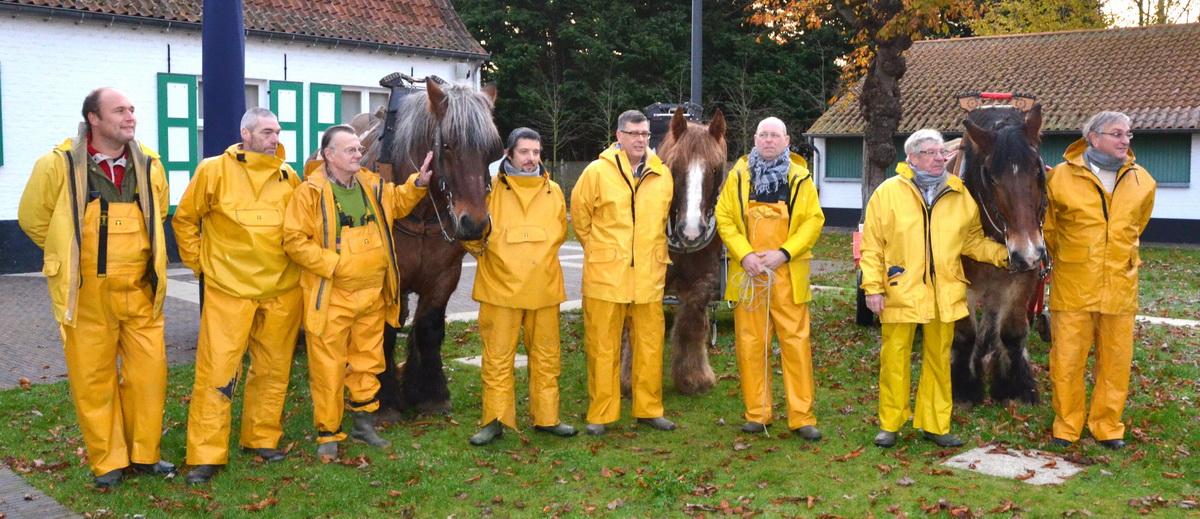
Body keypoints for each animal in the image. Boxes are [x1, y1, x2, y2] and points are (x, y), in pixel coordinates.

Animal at [357, 79, 504, 413]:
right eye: (447, 145)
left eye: (492, 150)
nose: (474, 223)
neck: (421, 211)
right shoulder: (388, 279)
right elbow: (385, 330)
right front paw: (386, 400)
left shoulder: (444, 276)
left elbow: (428, 327)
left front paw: (429, 393)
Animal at [624, 108, 724, 394]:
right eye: (675, 167)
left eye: (716, 168)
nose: (692, 231)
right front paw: (631, 380)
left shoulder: (706, 280)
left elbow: (691, 324)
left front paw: (693, 377)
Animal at [950, 103, 1046, 408]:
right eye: (990, 177)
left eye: (1037, 171)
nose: (1027, 252)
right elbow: (964, 332)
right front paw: (965, 386)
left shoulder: (1024, 276)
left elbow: (1012, 332)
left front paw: (1014, 385)